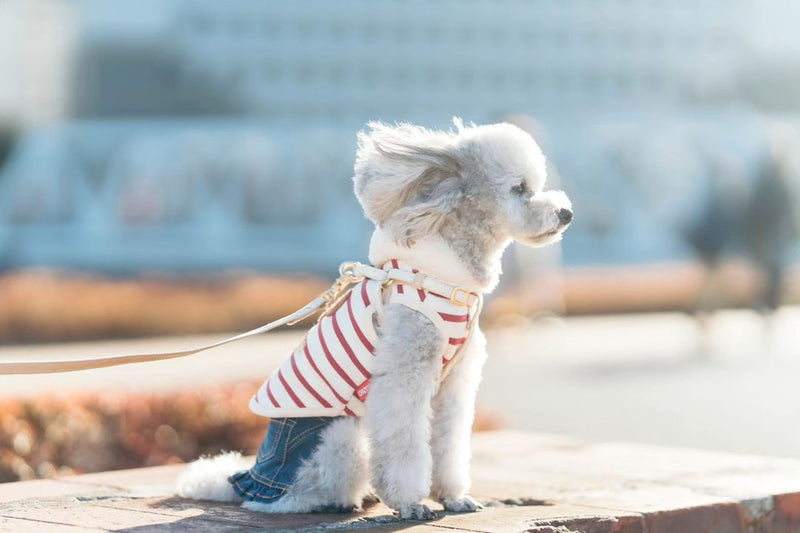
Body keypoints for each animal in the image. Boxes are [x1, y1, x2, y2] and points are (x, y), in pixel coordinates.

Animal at [178, 119, 572, 520]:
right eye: (519, 189)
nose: (565, 214)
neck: (443, 279)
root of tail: (250, 476)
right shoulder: (405, 374)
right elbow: (405, 442)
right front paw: (411, 503)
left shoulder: (455, 381)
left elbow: (449, 442)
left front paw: (453, 496)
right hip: (338, 439)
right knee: (300, 495)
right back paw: (338, 499)